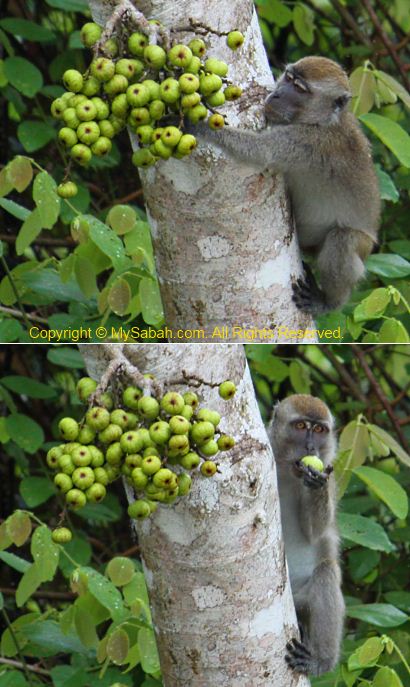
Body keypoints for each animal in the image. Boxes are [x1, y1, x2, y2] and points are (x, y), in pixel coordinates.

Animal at [195, 57, 382, 316]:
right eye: (288, 77)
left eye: (300, 88)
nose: (276, 95)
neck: (323, 121)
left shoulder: (307, 142)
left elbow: (260, 152)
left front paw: (193, 126)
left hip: (362, 246)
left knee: (344, 240)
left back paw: (329, 301)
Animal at [268, 396, 344, 676]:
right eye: (301, 426)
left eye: (320, 429)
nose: (311, 446)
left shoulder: (331, 475)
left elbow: (315, 532)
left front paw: (317, 484)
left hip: (299, 599)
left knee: (326, 572)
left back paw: (321, 661)